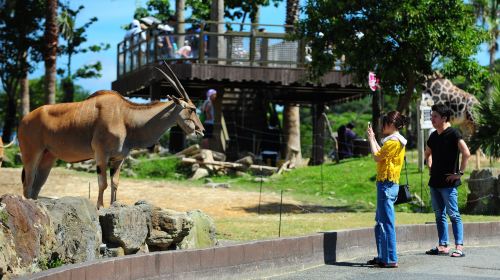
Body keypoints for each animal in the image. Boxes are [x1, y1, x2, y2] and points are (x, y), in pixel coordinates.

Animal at [18, 63, 204, 208]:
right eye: (192, 109)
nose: (200, 131)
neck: (125, 115)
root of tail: (24, 120)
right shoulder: (101, 155)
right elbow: (104, 183)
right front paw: (100, 207)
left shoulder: (118, 159)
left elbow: (115, 183)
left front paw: (114, 205)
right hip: (32, 155)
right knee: (28, 184)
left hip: (48, 157)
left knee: (36, 186)